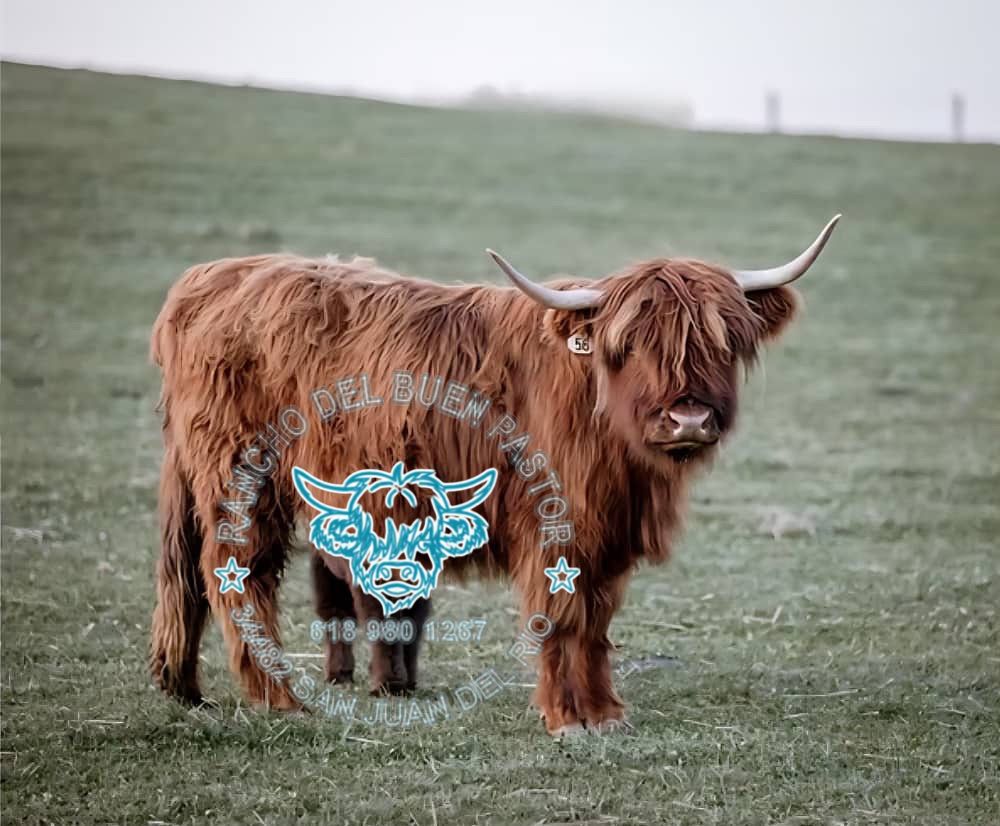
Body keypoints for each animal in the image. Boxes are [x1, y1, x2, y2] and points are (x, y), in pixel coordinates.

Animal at [149, 215, 840, 735]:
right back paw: (279, 698)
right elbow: (562, 616)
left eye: (724, 343)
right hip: (244, 480)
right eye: (629, 346)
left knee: (185, 572)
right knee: (236, 575)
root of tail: (214, 277)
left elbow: (596, 621)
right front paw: (567, 718)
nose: (689, 417)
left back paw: (182, 687)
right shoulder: (556, 526)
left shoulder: (606, 536)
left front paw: (605, 712)